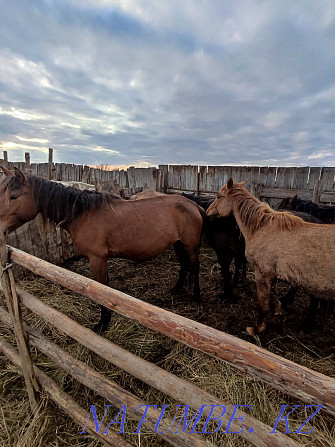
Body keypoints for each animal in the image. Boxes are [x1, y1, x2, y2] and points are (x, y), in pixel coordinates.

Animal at [0, 167, 206, 332]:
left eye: (14, 196)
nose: (0, 228)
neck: (82, 214)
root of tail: (193, 204)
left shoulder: (97, 258)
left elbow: (102, 290)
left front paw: (103, 323)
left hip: (190, 246)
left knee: (194, 267)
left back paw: (197, 297)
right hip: (177, 244)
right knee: (184, 265)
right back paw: (177, 288)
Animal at [207, 178, 335, 336]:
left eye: (219, 196)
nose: (208, 212)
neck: (260, 227)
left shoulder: (262, 273)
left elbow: (263, 305)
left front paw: (257, 328)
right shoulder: (271, 275)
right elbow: (272, 297)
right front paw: (278, 312)